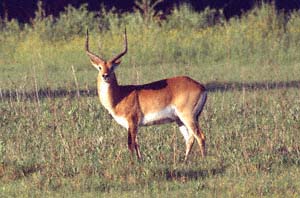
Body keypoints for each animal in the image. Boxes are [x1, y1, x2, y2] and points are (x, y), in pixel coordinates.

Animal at [85, 28, 207, 161]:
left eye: (112, 67)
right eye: (100, 67)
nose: (105, 75)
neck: (119, 96)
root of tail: (201, 87)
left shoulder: (132, 122)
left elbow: (130, 144)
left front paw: (132, 162)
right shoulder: (133, 126)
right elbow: (136, 143)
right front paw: (139, 160)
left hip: (187, 116)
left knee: (200, 136)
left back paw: (204, 160)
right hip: (180, 119)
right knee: (190, 138)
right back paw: (185, 161)